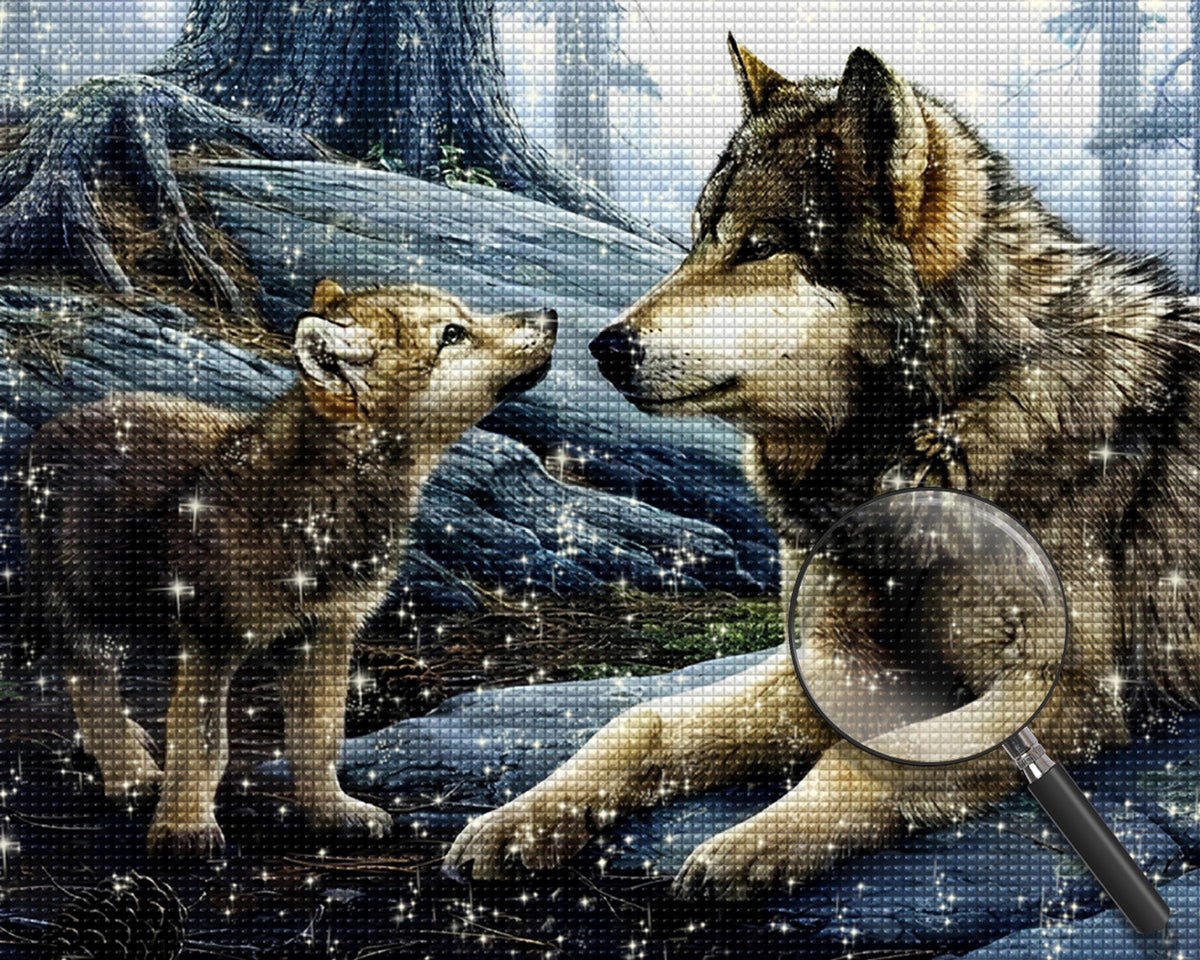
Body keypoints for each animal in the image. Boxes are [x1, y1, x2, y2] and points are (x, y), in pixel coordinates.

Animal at [19, 280, 556, 856]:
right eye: (452, 334)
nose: (551, 316)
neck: (325, 505)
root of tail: (48, 429)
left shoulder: (326, 631)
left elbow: (317, 735)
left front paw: (331, 812)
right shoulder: (212, 641)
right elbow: (202, 742)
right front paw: (185, 829)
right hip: (86, 607)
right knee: (88, 683)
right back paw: (131, 774)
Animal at [445, 40, 1200, 899]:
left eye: (760, 246)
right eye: (698, 239)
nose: (605, 347)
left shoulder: (1070, 696)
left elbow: (866, 759)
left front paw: (753, 845)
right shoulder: (836, 660)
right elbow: (642, 722)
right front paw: (522, 820)